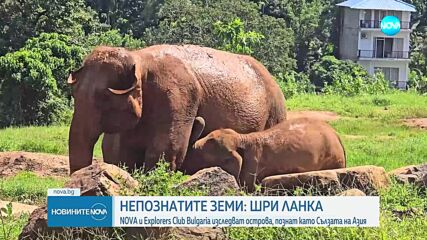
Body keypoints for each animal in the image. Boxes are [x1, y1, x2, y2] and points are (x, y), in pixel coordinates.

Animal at [67, 44, 288, 172]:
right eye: (74, 95)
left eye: (103, 97)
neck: (138, 59)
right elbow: (119, 151)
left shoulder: (178, 96)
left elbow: (166, 150)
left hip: (275, 111)